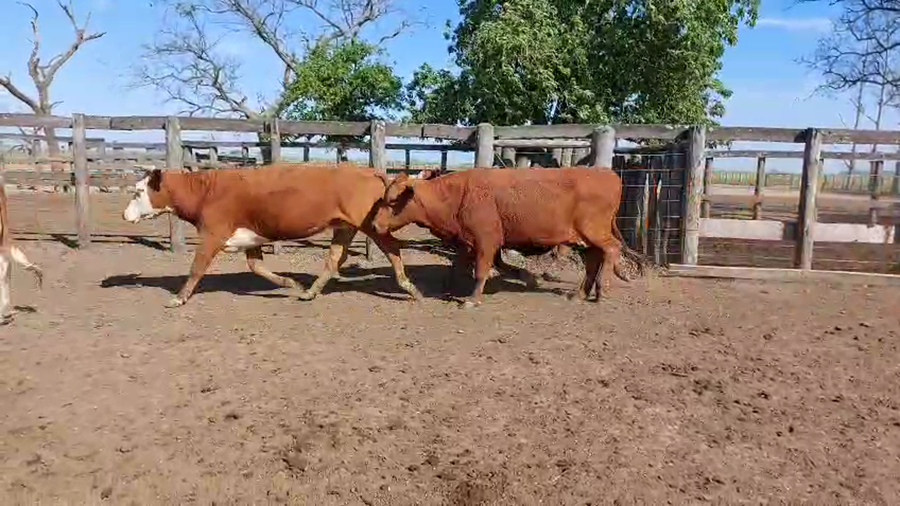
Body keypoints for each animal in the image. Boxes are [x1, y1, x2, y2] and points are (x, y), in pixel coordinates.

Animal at [122, 163, 423, 308]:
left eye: (138, 192)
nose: (124, 215)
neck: (205, 191)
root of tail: (369, 171)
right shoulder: (251, 238)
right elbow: (256, 266)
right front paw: (291, 284)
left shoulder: (212, 233)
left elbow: (196, 268)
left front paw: (178, 298)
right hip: (345, 226)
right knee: (335, 258)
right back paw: (309, 292)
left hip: (372, 225)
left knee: (393, 249)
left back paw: (411, 289)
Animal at [372, 167, 645, 307]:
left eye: (393, 201)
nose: (375, 224)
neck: (457, 195)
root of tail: (608, 174)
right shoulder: (468, 241)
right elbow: (459, 266)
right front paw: (447, 289)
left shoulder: (486, 240)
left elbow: (481, 270)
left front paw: (472, 299)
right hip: (585, 238)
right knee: (593, 260)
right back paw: (578, 294)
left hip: (594, 231)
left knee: (611, 250)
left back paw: (601, 291)